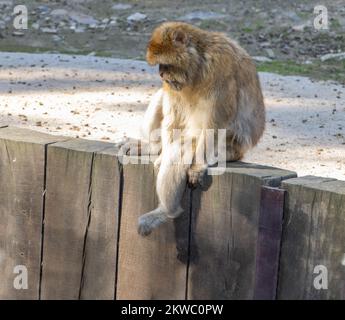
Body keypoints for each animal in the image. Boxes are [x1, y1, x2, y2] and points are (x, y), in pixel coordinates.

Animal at [133, 21, 264, 235]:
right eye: (160, 66)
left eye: (166, 64)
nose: (161, 73)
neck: (199, 64)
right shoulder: (172, 85)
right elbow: (173, 116)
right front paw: (159, 153)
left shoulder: (221, 69)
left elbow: (215, 122)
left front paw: (197, 167)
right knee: (162, 99)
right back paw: (153, 148)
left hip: (228, 149)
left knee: (182, 148)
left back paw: (166, 211)